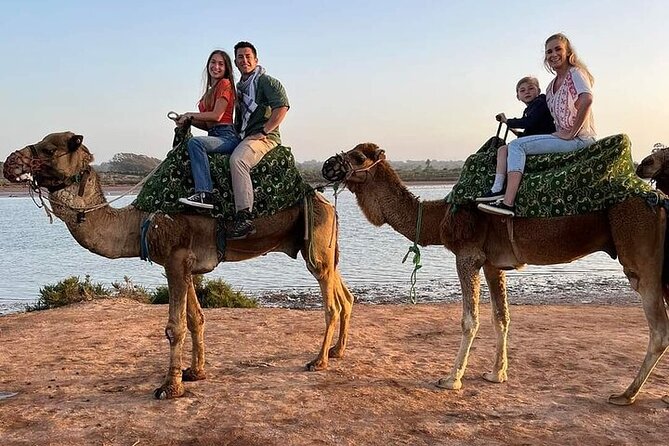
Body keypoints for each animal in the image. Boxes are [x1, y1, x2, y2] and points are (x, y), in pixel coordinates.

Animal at [3, 131, 355, 399]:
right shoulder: (185, 267)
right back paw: (338, 352)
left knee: (330, 304)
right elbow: (197, 319)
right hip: (323, 247)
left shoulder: (175, 260)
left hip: (317, 247)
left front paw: (169, 388)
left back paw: (319, 361)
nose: (10, 162)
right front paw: (195, 373)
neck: (141, 221)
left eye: (49, 148)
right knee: (345, 295)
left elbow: (175, 328)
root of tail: (325, 199)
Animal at [325, 142, 669, 405]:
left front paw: (451, 378)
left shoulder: (467, 255)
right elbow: (501, 317)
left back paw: (626, 394)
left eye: (358, 156)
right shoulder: (492, 263)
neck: (440, 216)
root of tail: (661, 201)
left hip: (642, 256)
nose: (328, 165)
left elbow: (470, 320)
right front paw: (496, 373)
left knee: (659, 329)